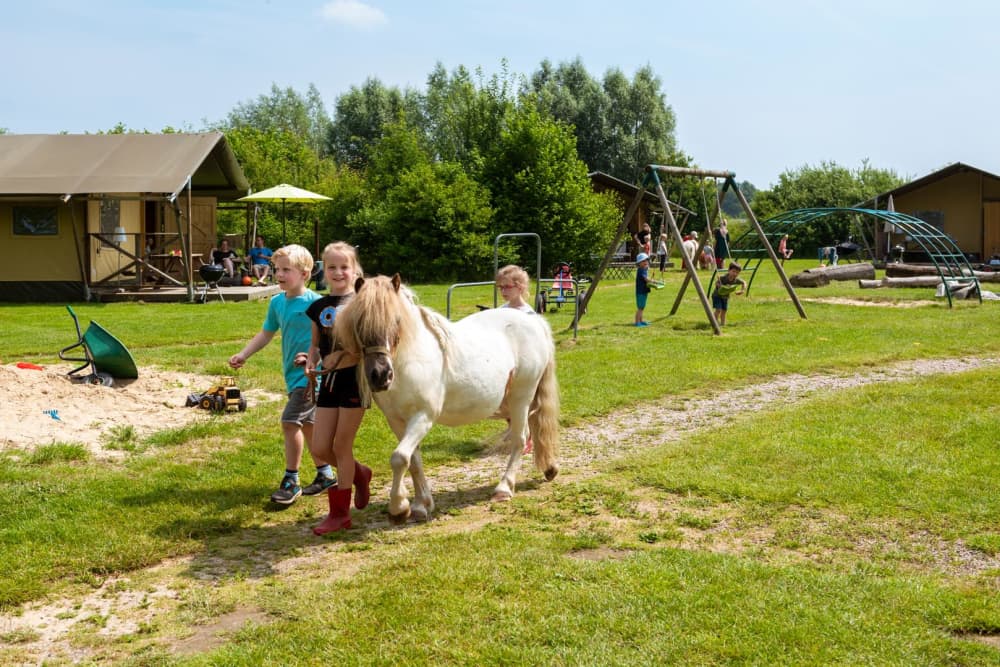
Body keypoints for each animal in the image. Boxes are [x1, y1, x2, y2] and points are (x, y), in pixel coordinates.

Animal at [334, 274, 556, 524]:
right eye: (358, 322)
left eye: (397, 320)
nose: (380, 375)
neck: (409, 360)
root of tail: (534, 322)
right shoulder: (397, 421)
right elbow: (414, 460)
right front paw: (421, 505)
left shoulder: (423, 416)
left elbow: (399, 458)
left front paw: (399, 508)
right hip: (508, 402)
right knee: (533, 428)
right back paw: (549, 468)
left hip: (522, 396)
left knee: (520, 438)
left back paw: (504, 488)